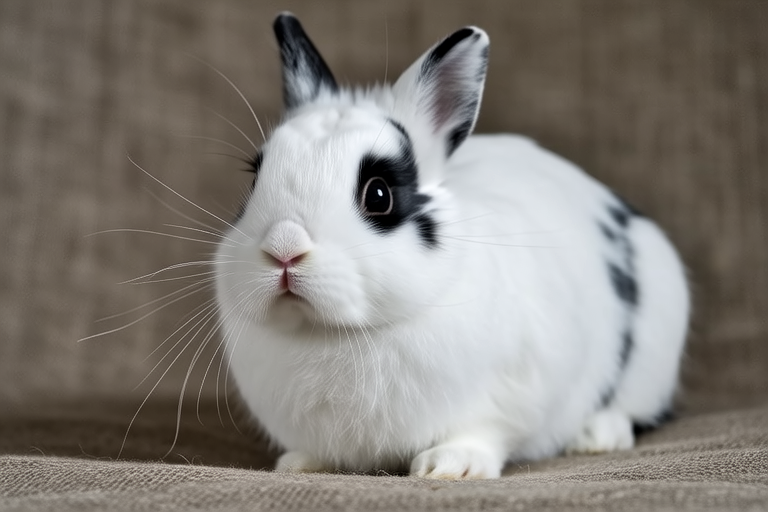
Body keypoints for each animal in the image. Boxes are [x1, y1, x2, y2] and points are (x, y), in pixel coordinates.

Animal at [214, 12, 689, 479]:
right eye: (255, 181)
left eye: (379, 195)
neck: (336, 333)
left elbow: (484, 431)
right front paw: (298, 465)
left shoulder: (510, 391)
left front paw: (450, 466)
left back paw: (596, 436)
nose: (284, 248)